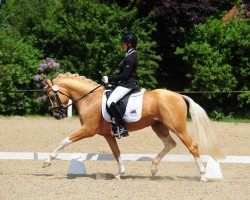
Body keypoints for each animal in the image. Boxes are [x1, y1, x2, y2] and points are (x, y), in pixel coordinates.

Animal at [42, 73, 224, 181]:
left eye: (51, 95)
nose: (57, 115)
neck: (89, 99)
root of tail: (179, 96)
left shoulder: (88, 130)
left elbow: (65, 140)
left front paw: (47, 162)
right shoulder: (108, 134)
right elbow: (116, 152)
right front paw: (120, 173)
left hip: (177, 127)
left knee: (192, 145)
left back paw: (203, 175)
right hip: (158, 126)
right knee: (170, 144)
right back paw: (153, 169)